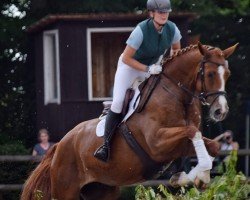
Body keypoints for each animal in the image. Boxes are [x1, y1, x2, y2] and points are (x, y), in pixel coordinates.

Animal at [21, 42, 236, 200]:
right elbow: (193, 132)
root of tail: (59, 145)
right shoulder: (158, 144)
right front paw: (194, 176)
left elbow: (212, 146)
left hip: (101, 190)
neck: (175, 94)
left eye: (227, 74)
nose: (221, 111)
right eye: (210, 74)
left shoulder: (177, 145)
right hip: (66, 190)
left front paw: (194, 177)